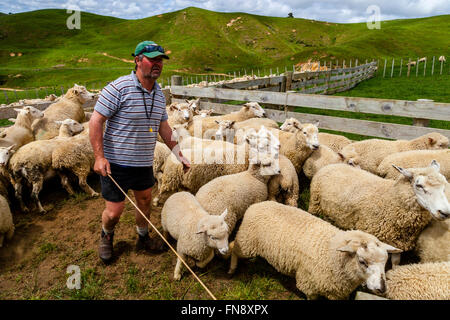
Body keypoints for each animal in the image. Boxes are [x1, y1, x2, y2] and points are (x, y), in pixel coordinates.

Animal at [229, 202, 400, 300]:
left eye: (385, 263)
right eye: (362, 261)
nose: (382, 288)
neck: (330, 251)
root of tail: (257, 204)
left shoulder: (338, 293)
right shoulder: (309, 286)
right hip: (247, 242)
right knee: (233, 247)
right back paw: (232, 268)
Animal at [310, 161, 450, 254]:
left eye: (444, 186)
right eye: (419, 185)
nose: (445, 212)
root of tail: (333, 164)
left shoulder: (397, 244)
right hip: (315, 206)